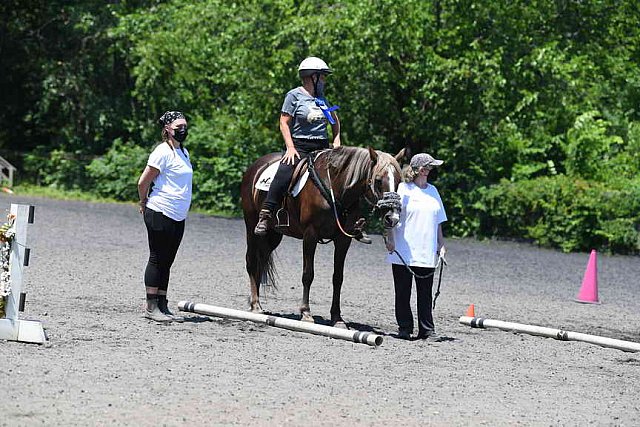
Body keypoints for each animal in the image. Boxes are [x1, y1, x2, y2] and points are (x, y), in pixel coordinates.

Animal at [240, 145, 404, 326]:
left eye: (398, 181)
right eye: (378, 180)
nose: (392, 217)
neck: (336, 189)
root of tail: (256, 166)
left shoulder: (343, 240)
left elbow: (338, 277)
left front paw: (337, 318)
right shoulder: (310, 235)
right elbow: (308, 274)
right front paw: (306, 313)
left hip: (274, 235)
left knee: (261, 262)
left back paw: (256, 304)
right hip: (251, 227)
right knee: (251, 262)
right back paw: (256, 305)